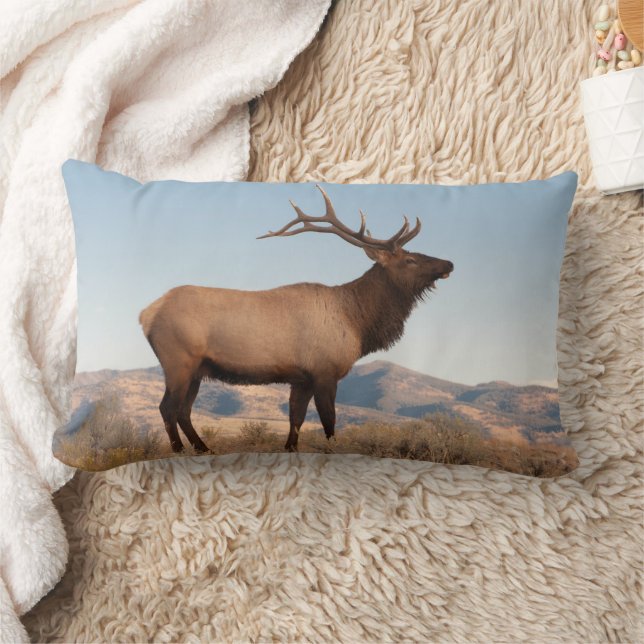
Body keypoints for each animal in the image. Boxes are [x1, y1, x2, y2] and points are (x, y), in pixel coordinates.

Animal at [139, 186, 453, 454]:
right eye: (410, 260)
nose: (449, 262)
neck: (357, 322)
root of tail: (146, 314)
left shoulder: (301, 378)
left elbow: (296, 419)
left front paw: (291, 448)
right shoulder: (325, 370)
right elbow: (329, 421)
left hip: (196, 369)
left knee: (183, 410)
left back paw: (203, 448)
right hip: (178, 361)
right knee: (167, 408)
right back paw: (180, 450)